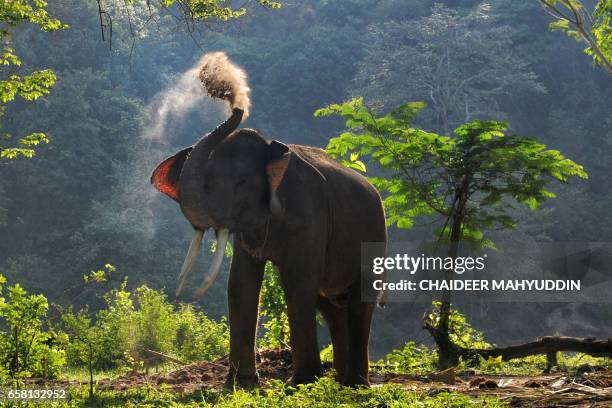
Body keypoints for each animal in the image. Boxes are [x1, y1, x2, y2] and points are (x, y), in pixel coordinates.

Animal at [150, 52, 384, 388]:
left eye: (240, 184)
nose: (218, 81)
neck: (273, 149)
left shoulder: (309, 212)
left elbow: (297, 284)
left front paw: (301, 384)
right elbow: (241, 285)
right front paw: (241, 385)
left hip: (375, 236)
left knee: (359, 299)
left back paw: (355, 384)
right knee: (330, 304)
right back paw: (339, 381)